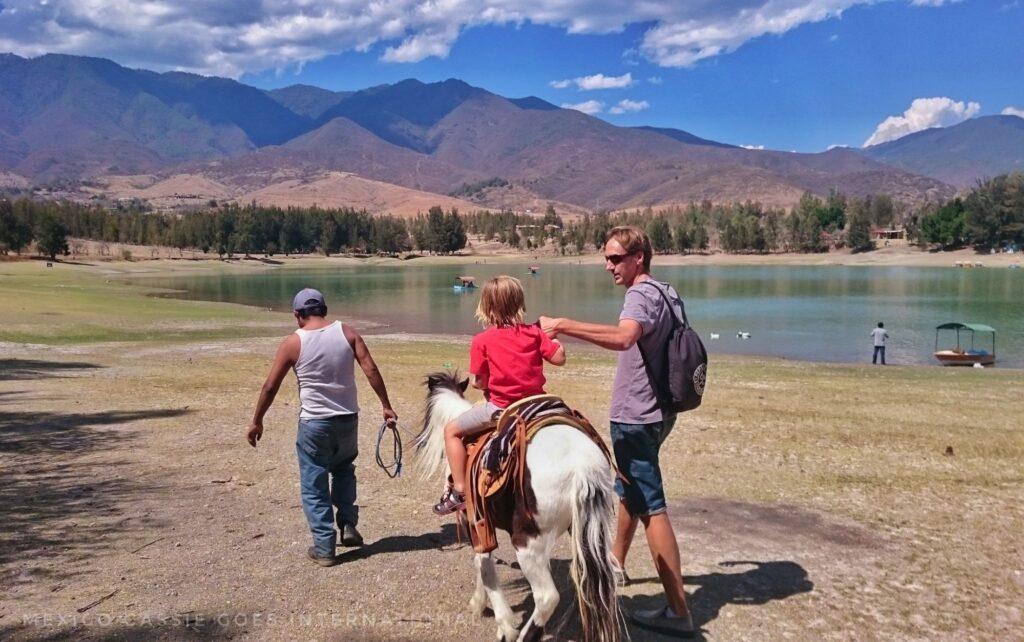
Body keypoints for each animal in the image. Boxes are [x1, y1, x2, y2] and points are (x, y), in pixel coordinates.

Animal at [411, 372, 618, 642]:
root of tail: (583, 466)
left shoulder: (474, 521)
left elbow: (483, 565)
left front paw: (499, 620)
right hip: (586, 533)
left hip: (525, 541)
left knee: (547, 597)